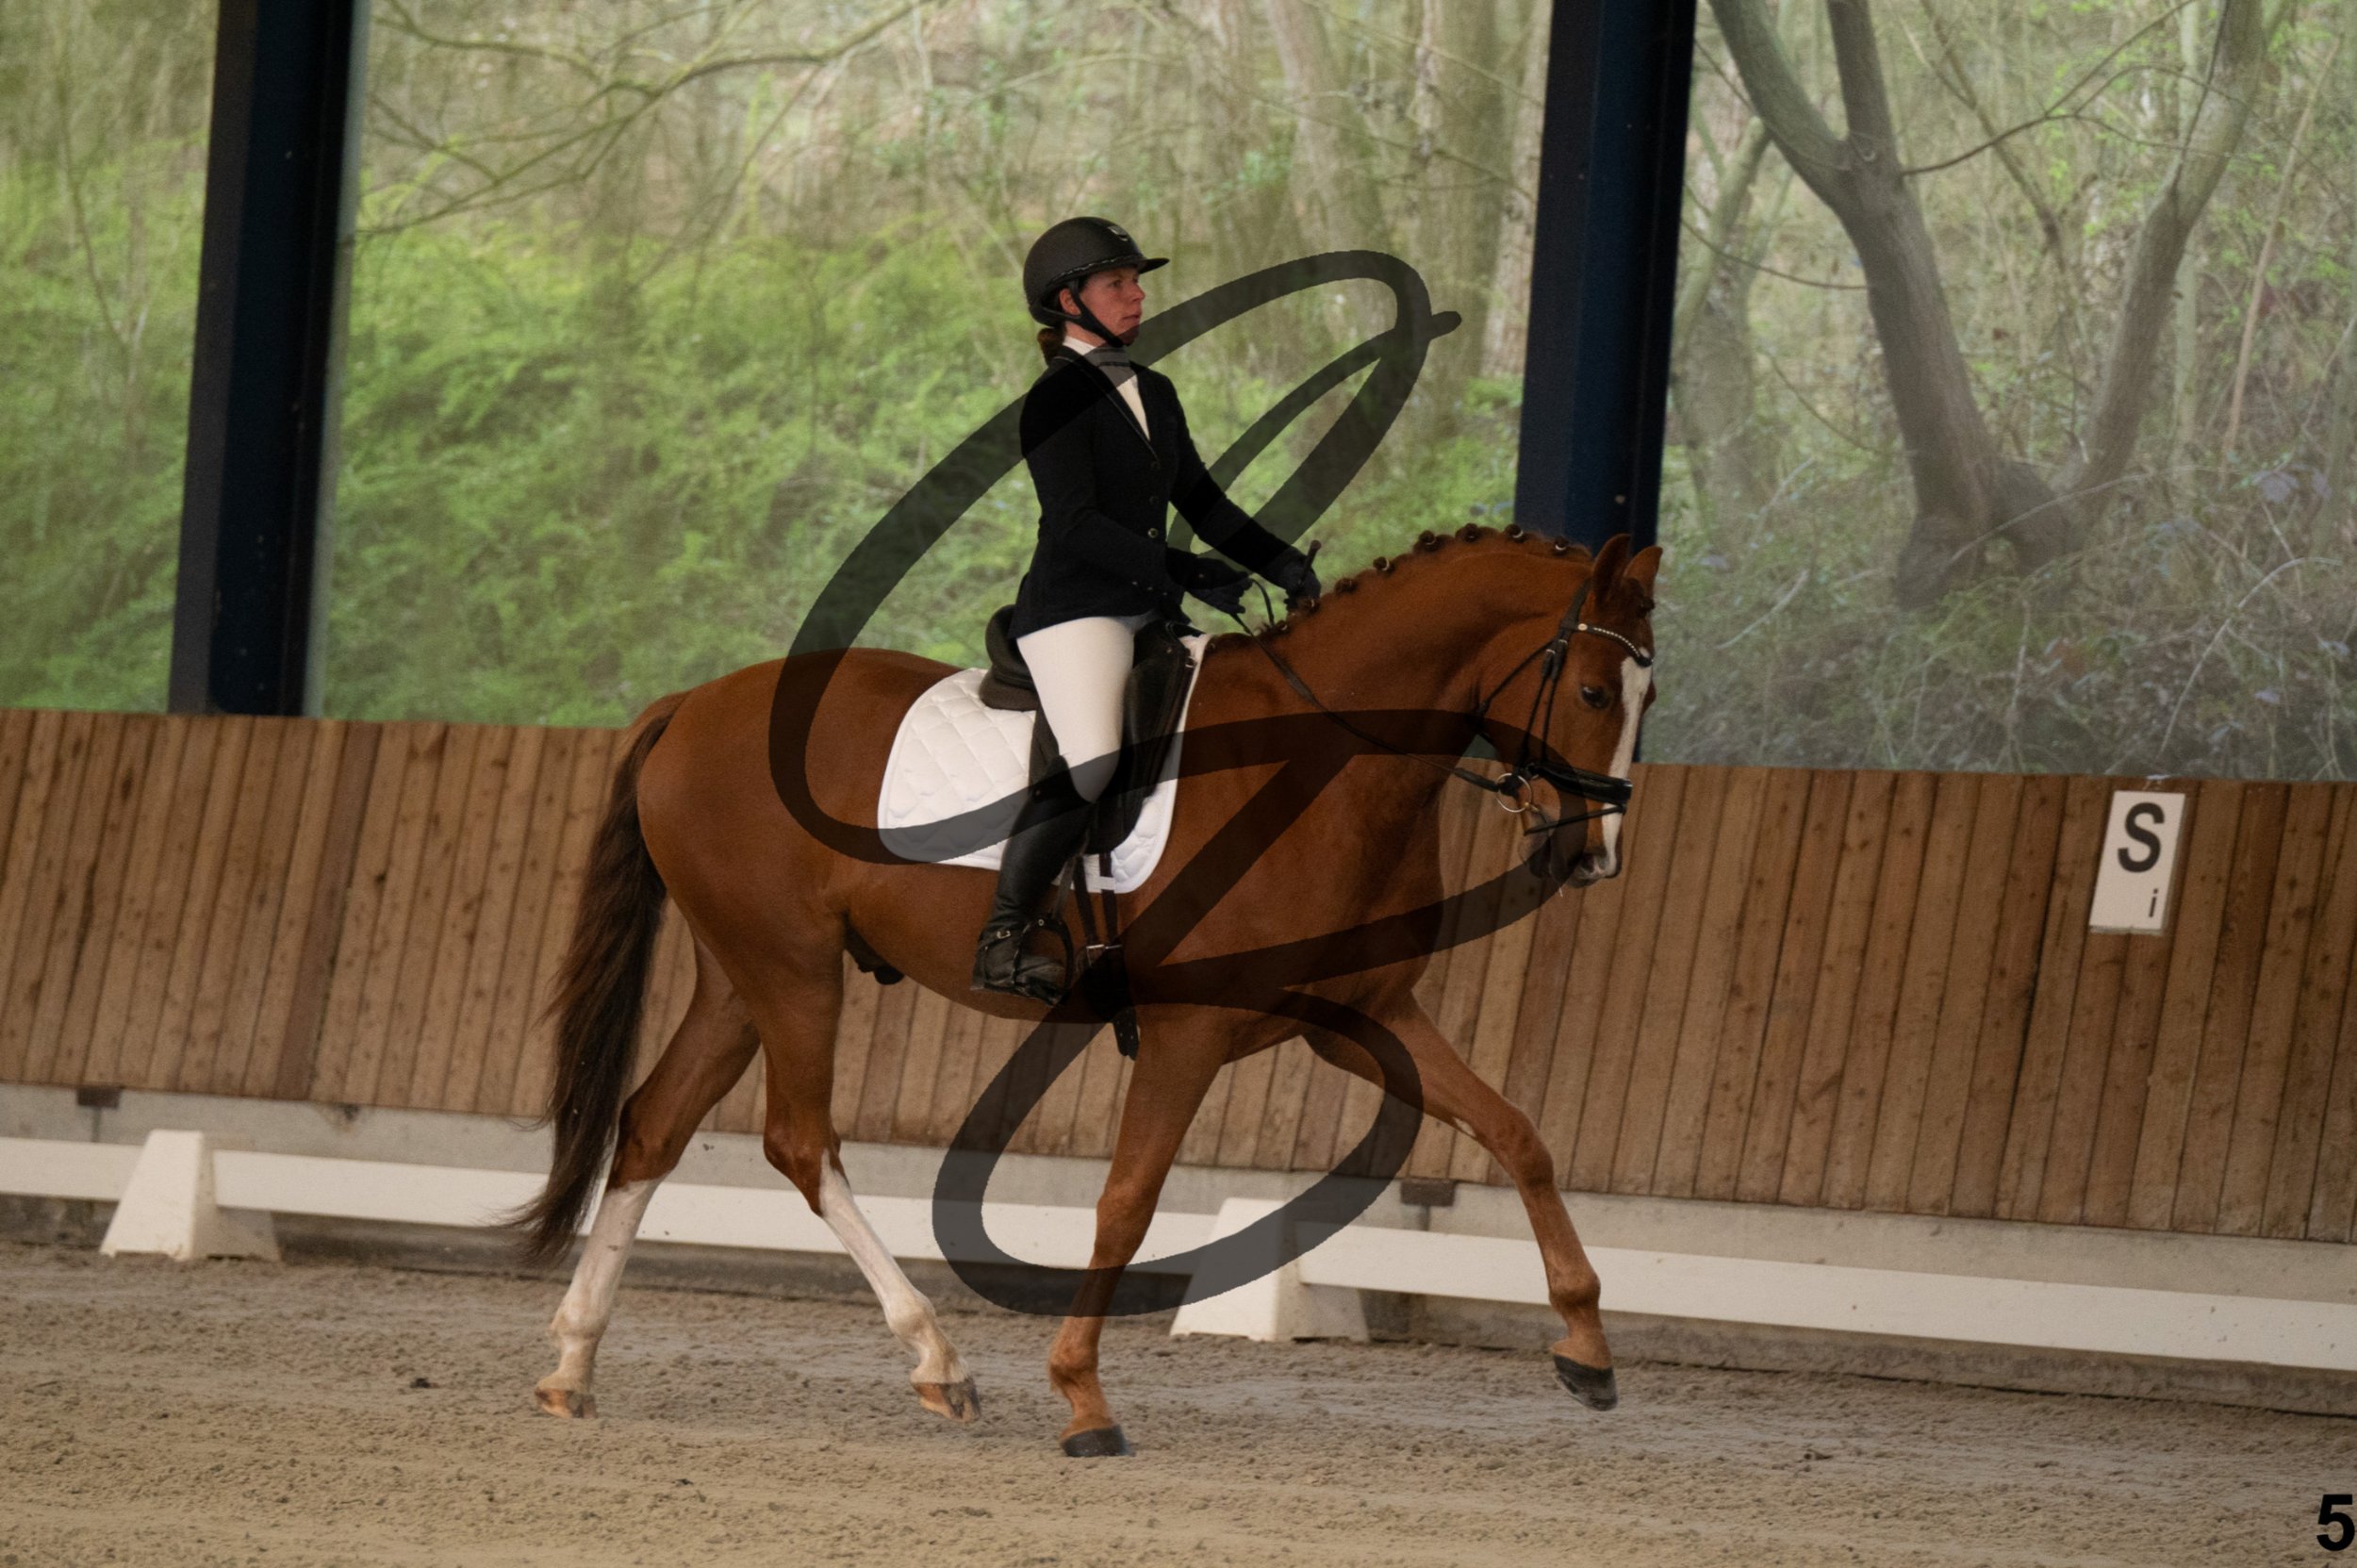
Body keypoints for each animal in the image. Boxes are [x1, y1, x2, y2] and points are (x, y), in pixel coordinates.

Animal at [513, 524, 1661, 1455]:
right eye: (1594, 692)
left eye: (1648, 699)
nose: (1593, 856)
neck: (1324, 760)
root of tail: (692, 704)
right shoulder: (1190, 1030)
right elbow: (1127, 1201)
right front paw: (1081, 1397)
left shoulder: (1360, 1016)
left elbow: (1518, 1134)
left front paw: (1587, 1346)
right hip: (792, 970)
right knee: (801, 1142)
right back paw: (938, 1361)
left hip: (738, 974)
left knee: (653, 1124)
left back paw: (571, 1362)